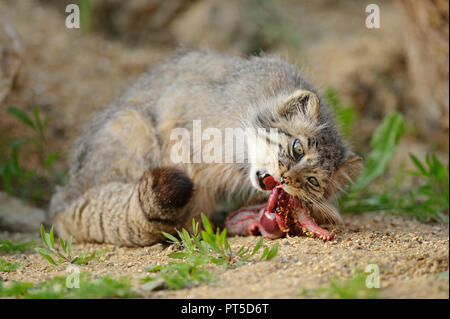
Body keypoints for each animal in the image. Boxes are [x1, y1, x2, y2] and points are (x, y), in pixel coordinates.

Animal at [50, 50, 362, 246]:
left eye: (312, 181)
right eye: (297, 148)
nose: (286, 178)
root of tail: (63, 198)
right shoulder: (182, 137)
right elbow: (196, 195)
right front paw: (194, 235)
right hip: (131, 125)